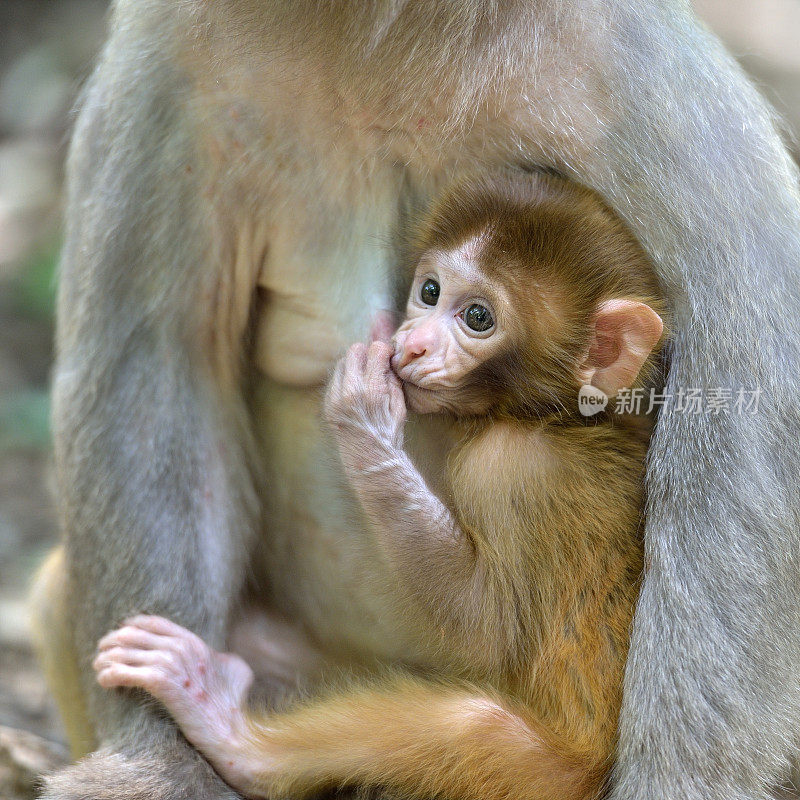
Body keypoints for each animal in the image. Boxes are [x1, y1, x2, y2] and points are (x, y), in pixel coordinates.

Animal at [94, 172, 664, 800]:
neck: (557, 419)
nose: (413, 343)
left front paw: (363, 419)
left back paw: (227, 726)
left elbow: (485, 629)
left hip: (552, 778)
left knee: (475, 726)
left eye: (478, 318)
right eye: (430, 291)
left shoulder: (512, 471)